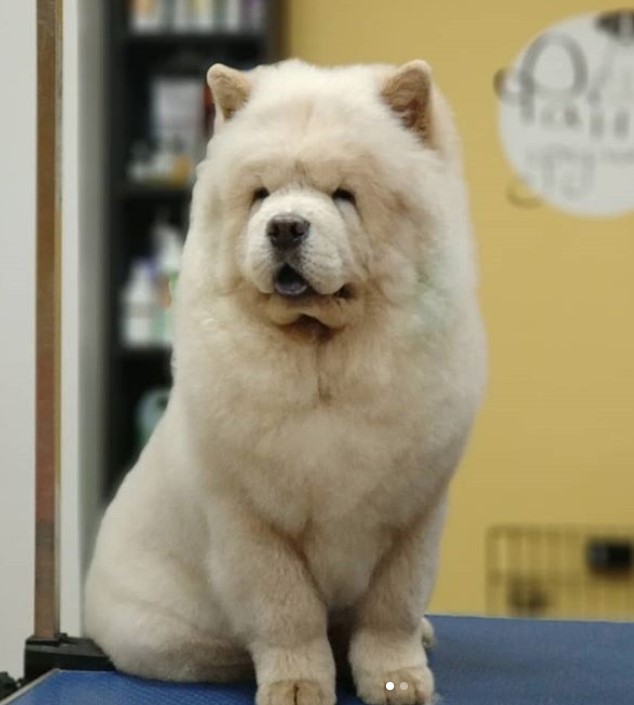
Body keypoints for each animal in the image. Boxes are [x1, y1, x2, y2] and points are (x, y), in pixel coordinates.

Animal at [84, 59, 486, 704]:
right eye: (262, 195)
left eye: (343, 194)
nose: (286, 227)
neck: (320, 350)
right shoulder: (253, 521)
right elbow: (287, 610)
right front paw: (298, 684)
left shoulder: (413, 512)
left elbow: (392, 607)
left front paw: (397, 679)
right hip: (164, 629)